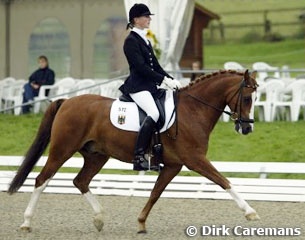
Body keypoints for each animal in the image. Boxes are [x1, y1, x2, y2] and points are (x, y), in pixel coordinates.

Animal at [8, 69, 258, 232]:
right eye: (247, 98)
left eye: (255, 98)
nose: (247, 128)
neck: (193, 110)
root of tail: (67, 101)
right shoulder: (195, 159)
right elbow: (224, 181)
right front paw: (250, 212)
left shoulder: (174, 165)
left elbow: (155, 193)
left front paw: (140, 222)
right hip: (62, 149)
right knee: (42, 179)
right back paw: (26, 223)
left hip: (97, 155)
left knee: (80, 181)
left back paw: (99, 219)